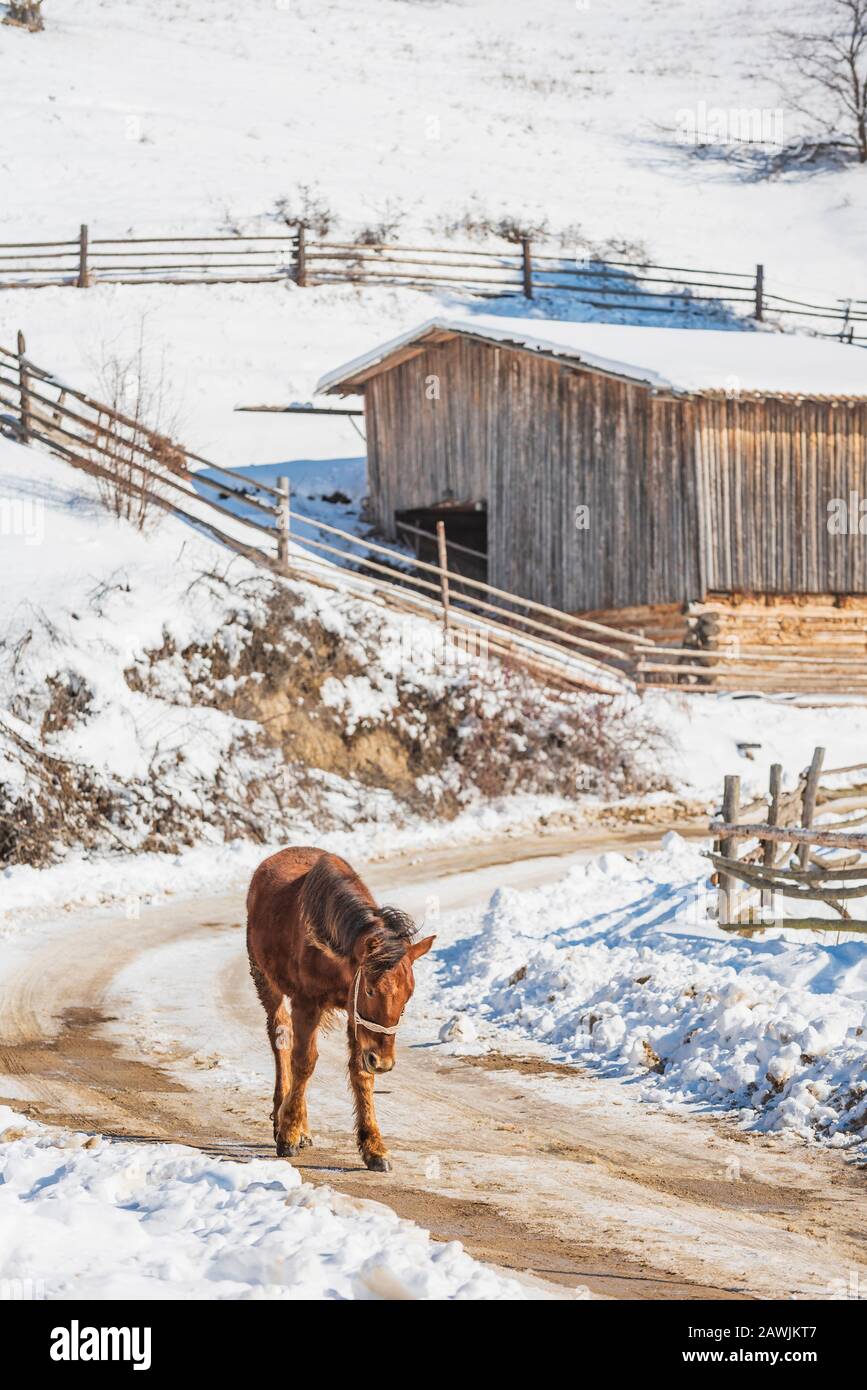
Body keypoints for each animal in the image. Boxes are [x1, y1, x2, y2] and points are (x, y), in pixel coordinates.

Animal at [244, 845, 433, 1173]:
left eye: (408, 996)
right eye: (370, 989)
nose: (383, 1062)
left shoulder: (354, 1013)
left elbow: (360, 1072)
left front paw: (373, 1147)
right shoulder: (307, 1002)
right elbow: (303, 1062)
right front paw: (288, 1133)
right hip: (265, 979)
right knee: (281, 1040)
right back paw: (284, 1121)